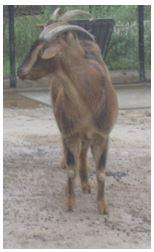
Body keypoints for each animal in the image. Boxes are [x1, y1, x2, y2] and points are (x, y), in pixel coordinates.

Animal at [17, 9, 118, 215]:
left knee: (83, 152)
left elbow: (101, 173)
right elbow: (71, 169)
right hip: (64, 126)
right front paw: (70, 201)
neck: (89, 98)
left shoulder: (103, 135)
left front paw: (102, 206)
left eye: (41, 51)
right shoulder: (70, 133)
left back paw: (86, 184)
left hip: (87, 135)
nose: (19, 71)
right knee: (73, 155)